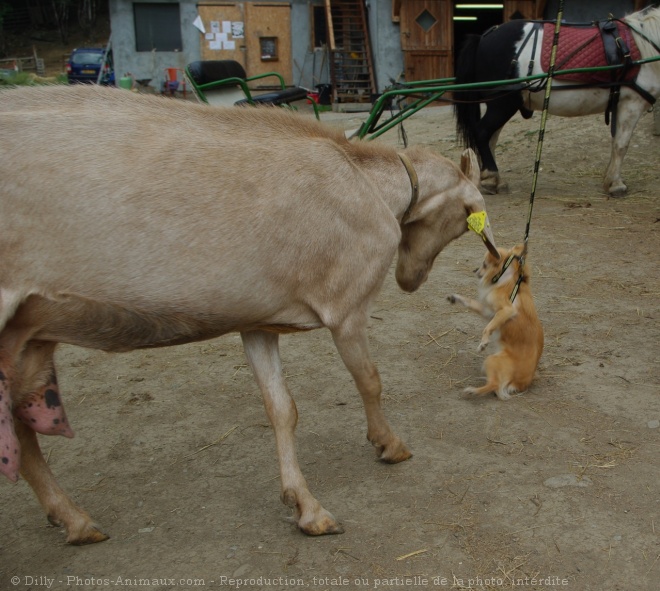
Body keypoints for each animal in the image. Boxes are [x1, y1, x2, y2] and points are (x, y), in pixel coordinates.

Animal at [454, 5, 660, 197]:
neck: (643, 46)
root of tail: (483, 38)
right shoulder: (632, 104)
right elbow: (621, 145)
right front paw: (616, 184)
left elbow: (616, 142)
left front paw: (609, 180)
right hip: (503, 104)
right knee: (482, 133)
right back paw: (491, 177)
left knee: (491, 138)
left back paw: (492, 180)